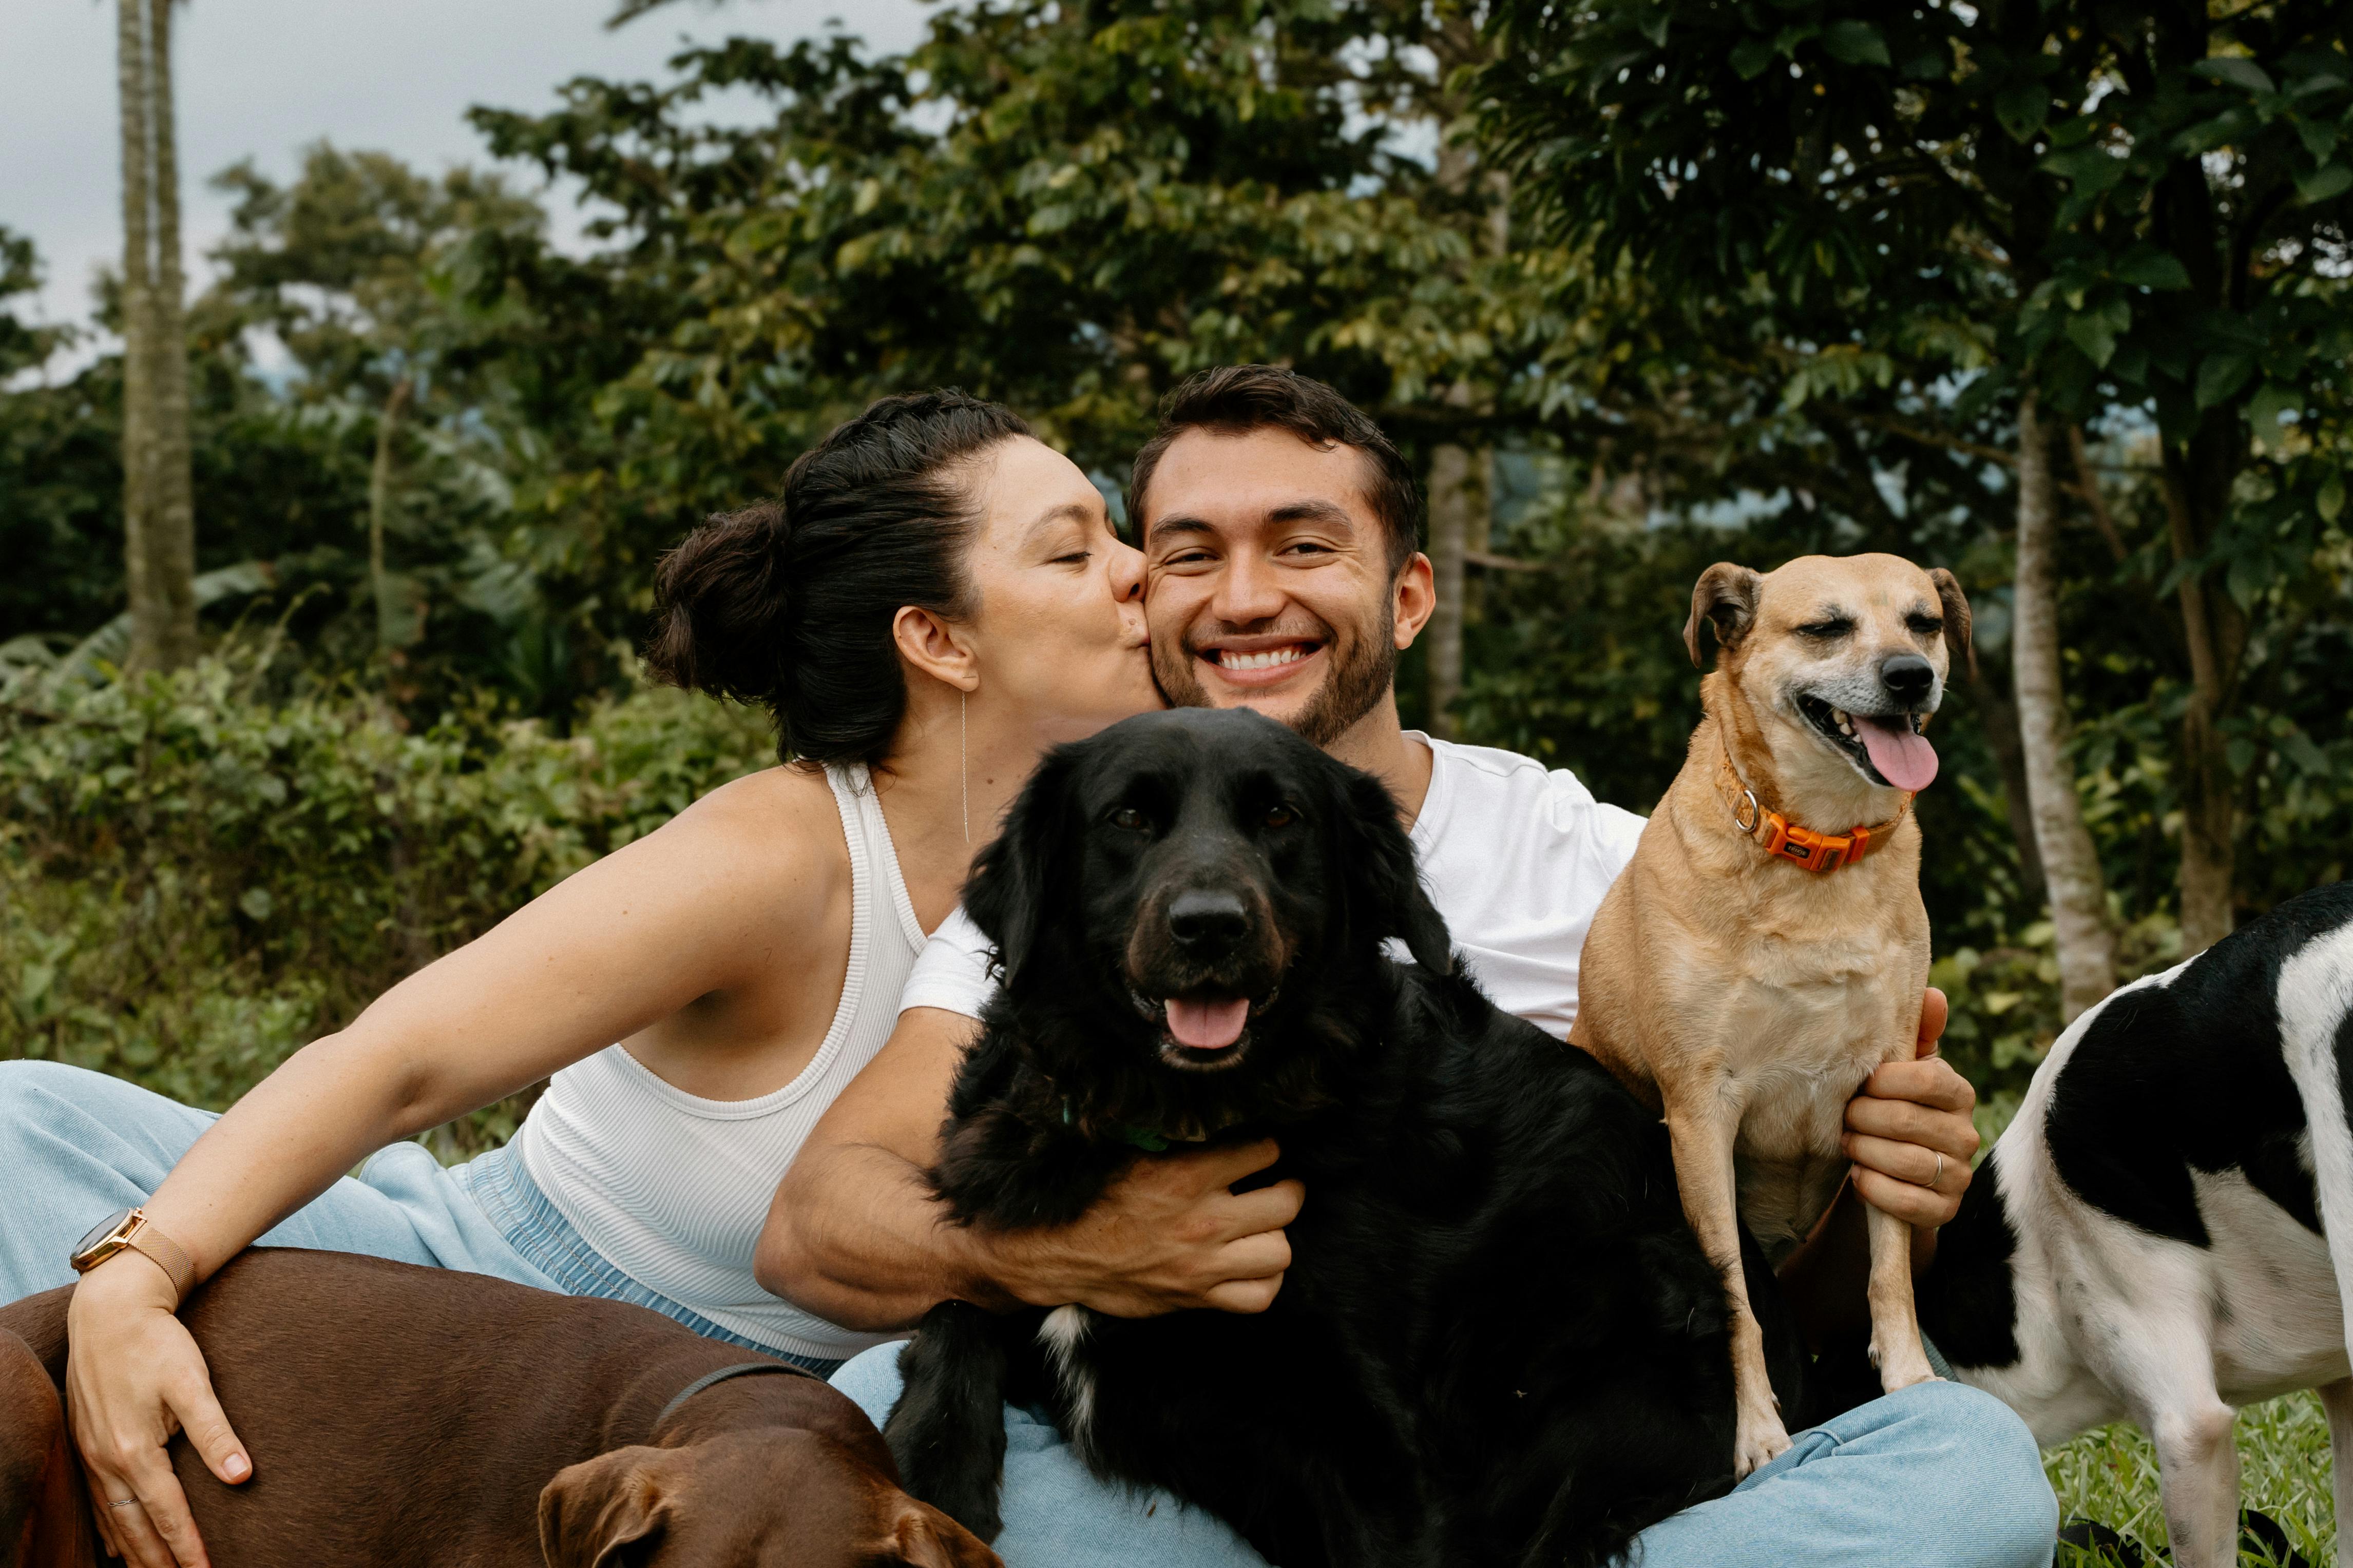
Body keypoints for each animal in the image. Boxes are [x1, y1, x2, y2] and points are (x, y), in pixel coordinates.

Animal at [885, 719, 1797, 1568]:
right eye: (1130, 817)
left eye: (1279, 816)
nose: (1209, 928)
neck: (1179, 1116)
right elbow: (954, 1302)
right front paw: (931, 1465)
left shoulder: (1376, 1452)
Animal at [1572, 554, 1976, 1485]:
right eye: (1825, 628)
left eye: (1924, 621)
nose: (1911, 676)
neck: (1816, 855)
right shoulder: (1699, 1117)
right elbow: (1732, 1301)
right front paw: (1755, 1431)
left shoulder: (1883, 1087)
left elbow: (1889, 1272)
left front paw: (1908, 1380)